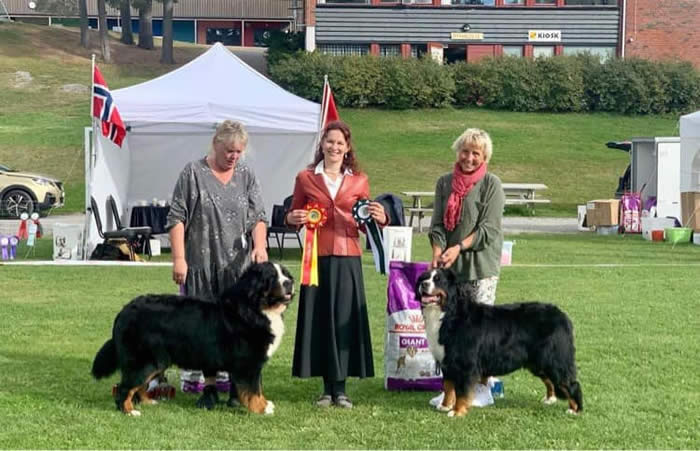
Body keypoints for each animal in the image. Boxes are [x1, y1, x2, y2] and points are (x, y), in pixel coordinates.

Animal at [416, 266, 584, 418]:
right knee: (550, 381)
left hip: (554, 359)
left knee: (570, 383)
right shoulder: (447, 361)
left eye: (438, 280)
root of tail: (563, 316)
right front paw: (445, 406)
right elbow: (448, 386)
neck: (448, 314)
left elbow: (461, 391)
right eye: (424, 278)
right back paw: (550, 398)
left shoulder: (465, 363)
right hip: (539, 362)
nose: (423, 284)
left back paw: (574, 409)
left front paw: (457, 411)